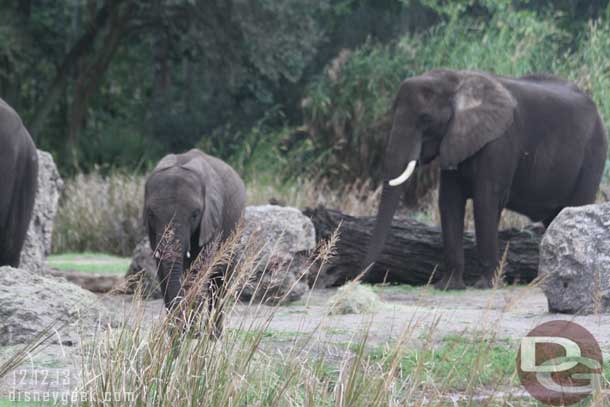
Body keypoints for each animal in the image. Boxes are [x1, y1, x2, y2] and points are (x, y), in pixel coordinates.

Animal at [142, 150, 245, 334]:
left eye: (195, 214)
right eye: (151, 214)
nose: (179, 327)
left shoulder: (212, 220)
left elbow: (199, 271)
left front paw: (187, 331)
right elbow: (163, 271)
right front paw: (175, 331)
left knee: (220, 282)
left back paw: (213, 335)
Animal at [364, 70, 604, 292]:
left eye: (425, 119)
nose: (363, 279)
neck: (457, 80)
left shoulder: (500, 142)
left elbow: (485, 202)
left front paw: (485, 285)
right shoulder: (454, 140)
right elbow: (449, 203)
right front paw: (448, 287)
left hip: (593, 153)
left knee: (575, 208)